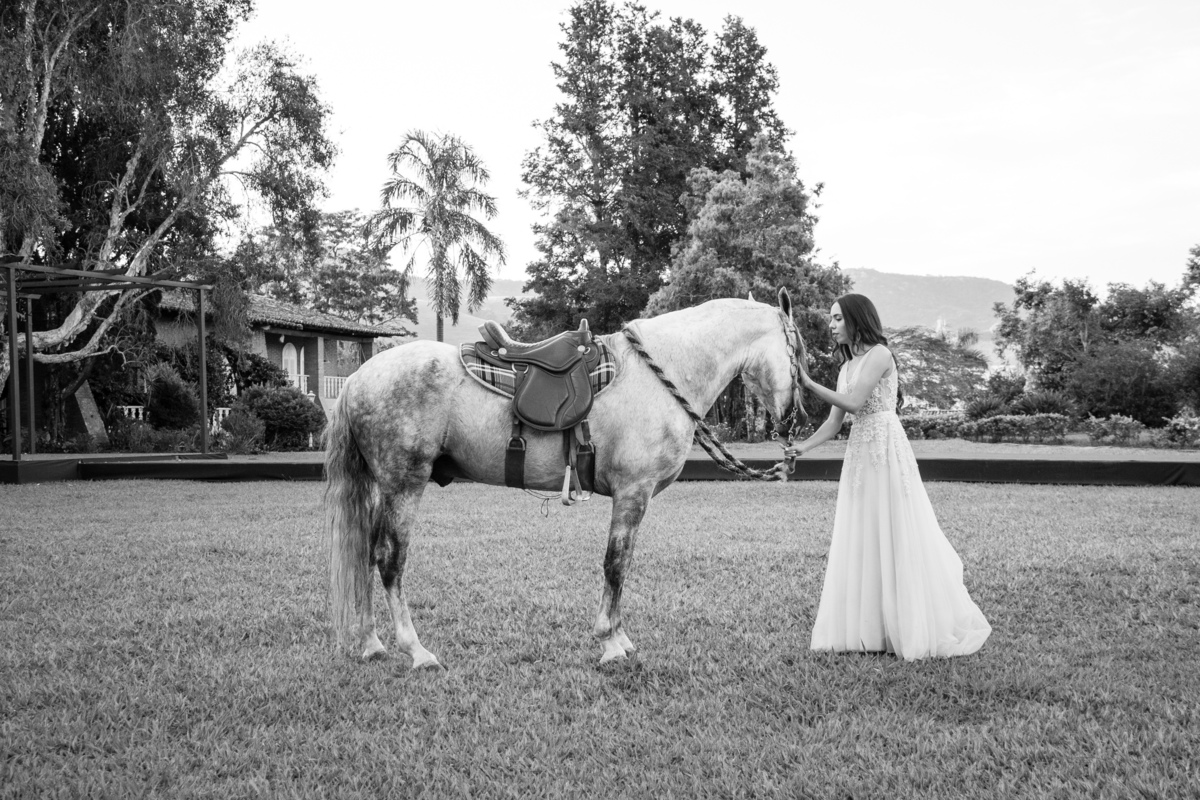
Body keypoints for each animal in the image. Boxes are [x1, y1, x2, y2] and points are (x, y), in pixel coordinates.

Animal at [325, 288, 807, 668]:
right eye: (799, 352)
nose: (796, 418)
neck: (665, 371)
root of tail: (357, 378)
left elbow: (620, 566)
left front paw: (619, 637)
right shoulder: (632, 493)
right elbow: (617, 564)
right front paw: (610, 642)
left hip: (382, 488)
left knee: (366, 554)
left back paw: (371, 643)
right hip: (404, 485)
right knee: (390, 560)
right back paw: (416, 650)